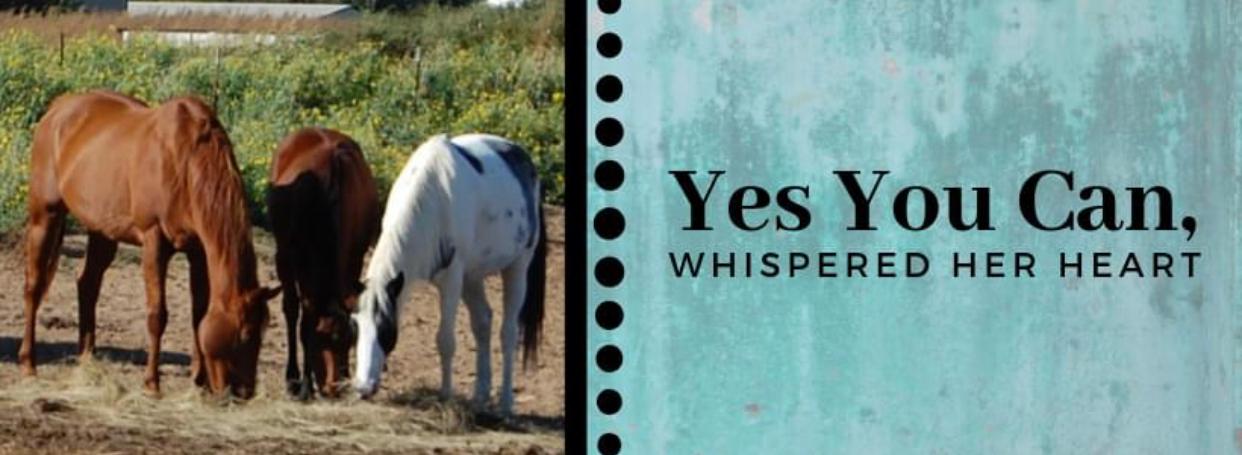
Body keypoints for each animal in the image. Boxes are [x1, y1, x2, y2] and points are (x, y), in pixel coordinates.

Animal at [21, 90, 280, 398]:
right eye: (245, 334)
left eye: (263, 332)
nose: (243, 392)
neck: (186, 162)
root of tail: (58, 108)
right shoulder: (154, 240)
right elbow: (158, 315)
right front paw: (151, 383)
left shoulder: (198, 250)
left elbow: (198, 314)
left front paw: (200, 381)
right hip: (44, 215)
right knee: (34, 286)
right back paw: (29, 364)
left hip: (103, 230)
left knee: (88, 284)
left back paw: (87, 358)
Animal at [267, 127, 380, 399]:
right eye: (321, 339)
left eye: (350, 340)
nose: (333, 387)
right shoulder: (288, 258)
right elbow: (300, 314)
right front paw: (302, 383)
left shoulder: (355, 257)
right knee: (292, 309)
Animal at [352, 133, 546, 415]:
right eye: (355, 325)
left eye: (386, 326)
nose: (363, 387)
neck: (434, 198)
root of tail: (524, 160)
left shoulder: (452, 281)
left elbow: (445, 341)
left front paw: (445, 396)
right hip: (472, 276)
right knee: (483, 322)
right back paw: (481, 395)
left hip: (517, 266)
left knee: (508, 333)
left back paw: (506, 403)